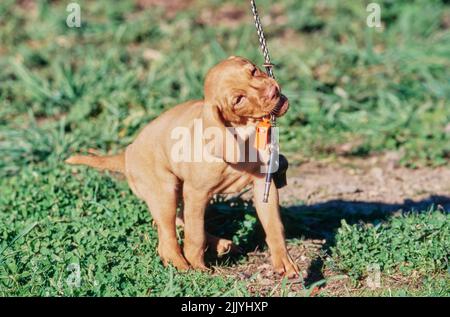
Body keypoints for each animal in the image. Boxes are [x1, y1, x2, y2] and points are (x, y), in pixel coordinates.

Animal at [67, 56, 298, 276]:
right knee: (167, 236)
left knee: (177, 221)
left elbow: (274, 226)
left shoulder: (263, 185)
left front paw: (283, 262)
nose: (273, 90)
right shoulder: (196, 193)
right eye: (238, 99)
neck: (242, 133)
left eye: (253, 71)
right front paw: (198, 266)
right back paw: (180, 263)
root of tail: (126, 154)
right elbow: (194, 237)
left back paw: (219, 244)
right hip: (166, 191)